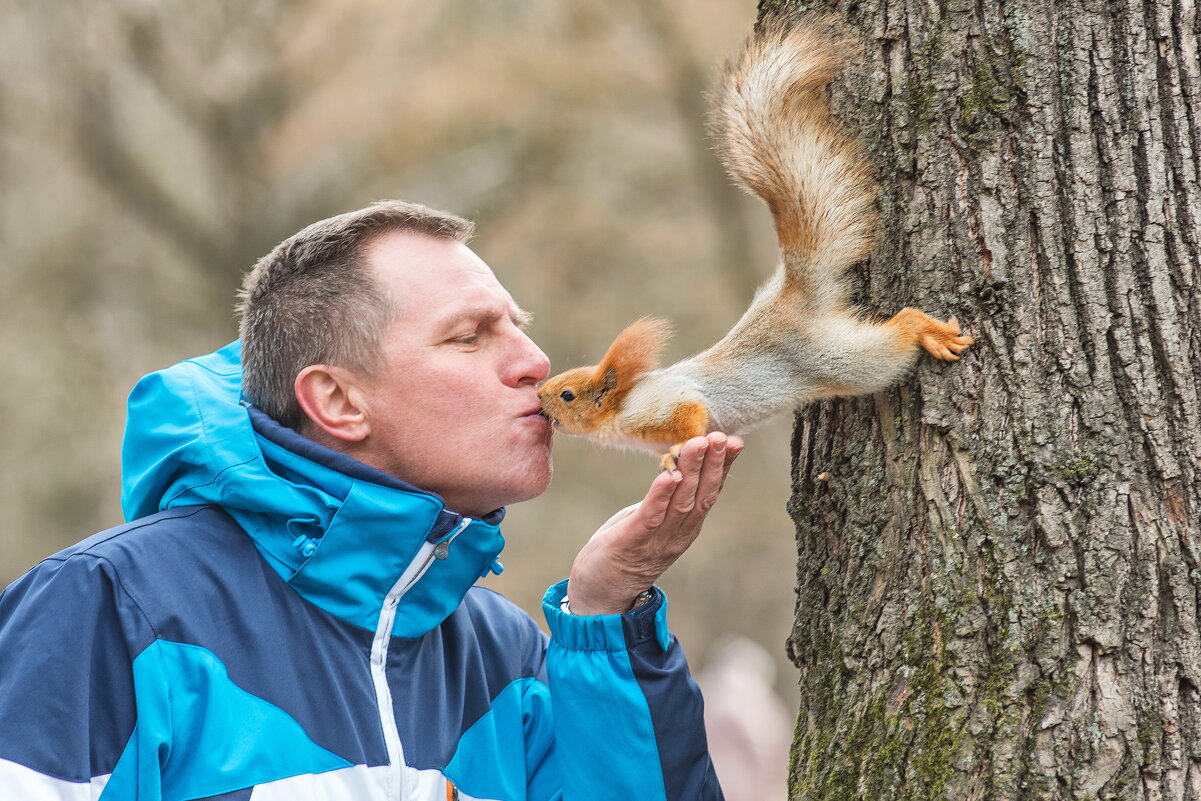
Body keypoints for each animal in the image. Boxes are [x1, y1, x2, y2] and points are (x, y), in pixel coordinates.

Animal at [540, 15, 970, 473]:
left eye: (567, 394)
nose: (537, 395)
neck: (622, 409)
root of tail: (793, 297)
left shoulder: (667, 404)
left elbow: (690, 418)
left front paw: (677, 451)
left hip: (841, 360)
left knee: (898, 331)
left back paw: (928, 331)